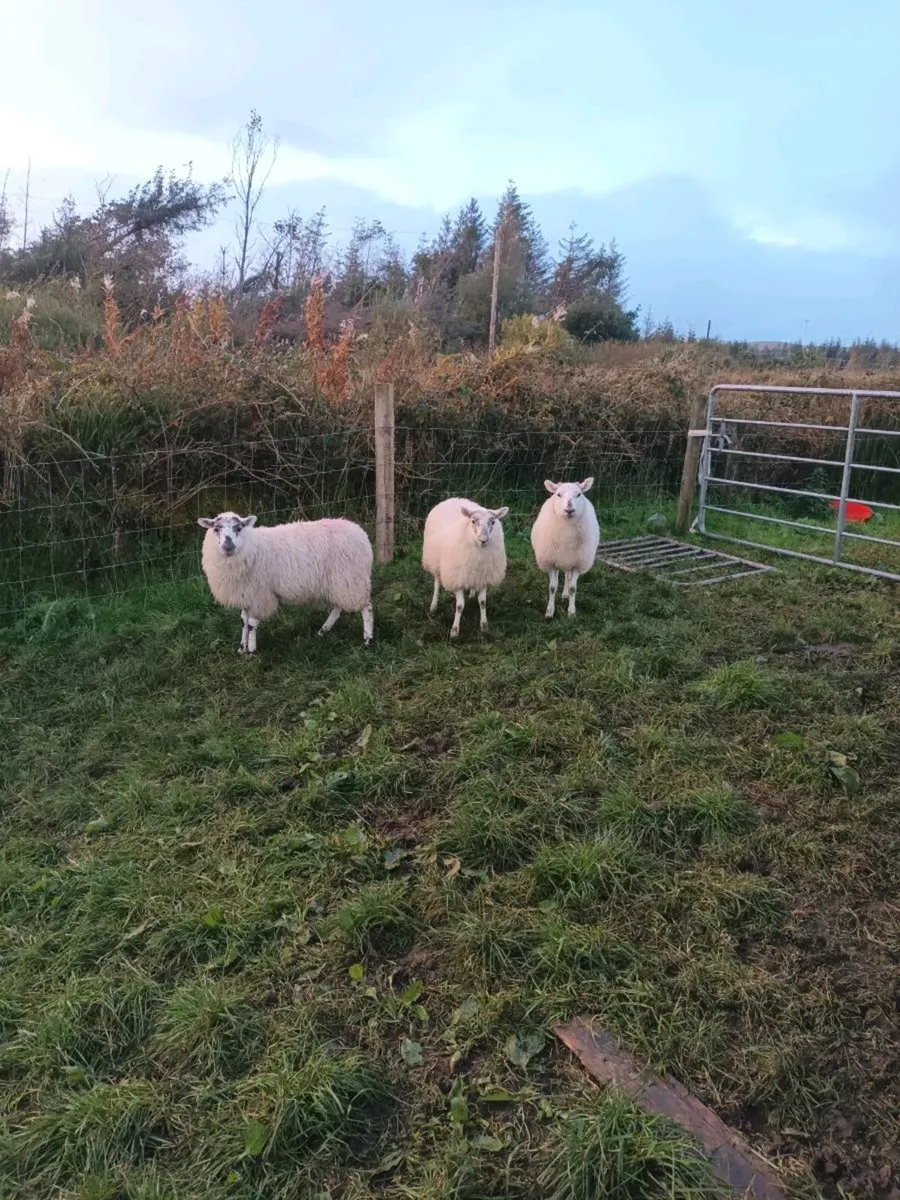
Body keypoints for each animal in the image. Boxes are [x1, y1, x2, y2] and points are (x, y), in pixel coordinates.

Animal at [197, 511, 374, 653]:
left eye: (238, 528)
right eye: (216, 529)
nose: (228, 546)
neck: (252, 546)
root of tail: (360, 532)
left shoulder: (259, 595)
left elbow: (251, 623)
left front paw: (252, 651)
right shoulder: (246, 593)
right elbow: (243, 621)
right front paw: (242, 648)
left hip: (352, 578)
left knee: (366, 607)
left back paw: (367, 639)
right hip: (339, 582)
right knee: (338, 607)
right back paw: (323, 630)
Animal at [422, 497, 509, 638]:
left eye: (493, 522)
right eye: (473, 521)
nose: (483, 540)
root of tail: (454, 498)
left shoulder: (483, 576)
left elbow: (483, 603)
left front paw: (484, 626)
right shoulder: (457, 577)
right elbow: (460, 606)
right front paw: (454, 630)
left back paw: (472, 594)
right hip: (436, 562)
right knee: (437, 583)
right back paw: (433, 606)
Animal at [530, 478, 599, 618]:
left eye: (579, 494)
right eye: (558, 494)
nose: (569, 510)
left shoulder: (578, 563)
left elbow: (573, 588)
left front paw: (571, 612)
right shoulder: (551, 562)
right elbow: (552, 588)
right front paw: (549, 611)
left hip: (570, 559)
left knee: (567, 576)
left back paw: (565, 594)